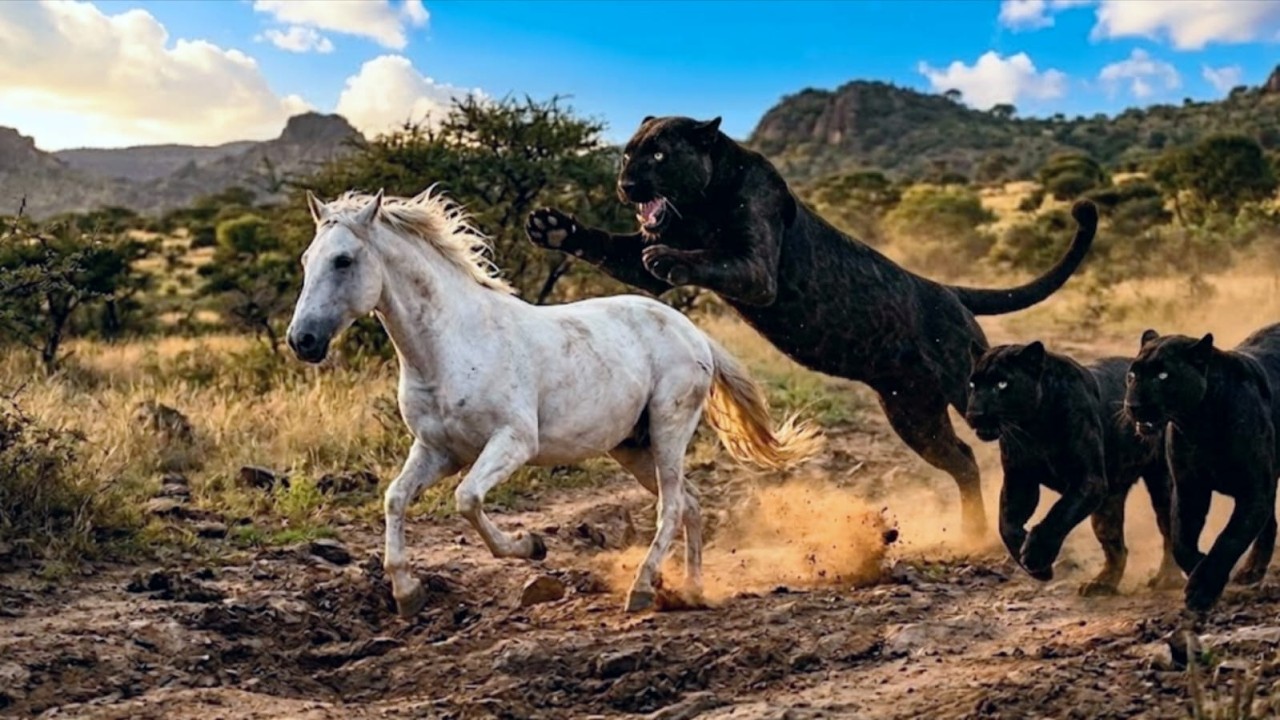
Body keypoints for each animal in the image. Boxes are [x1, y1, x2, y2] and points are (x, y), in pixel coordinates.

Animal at [284, 187, 824, 616]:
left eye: (343, 260)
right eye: (307, 260)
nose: (302, 341)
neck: (450, 345)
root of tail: (693, 333)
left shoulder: (514, 442)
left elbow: (467, 499)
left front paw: (532, 546)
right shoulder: (438, 451)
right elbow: (395, 498)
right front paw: (407, 595)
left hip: (669, 429)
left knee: (672, 506)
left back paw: (641, 590)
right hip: (633, 446)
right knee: (690, 503)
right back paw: (690, 590)